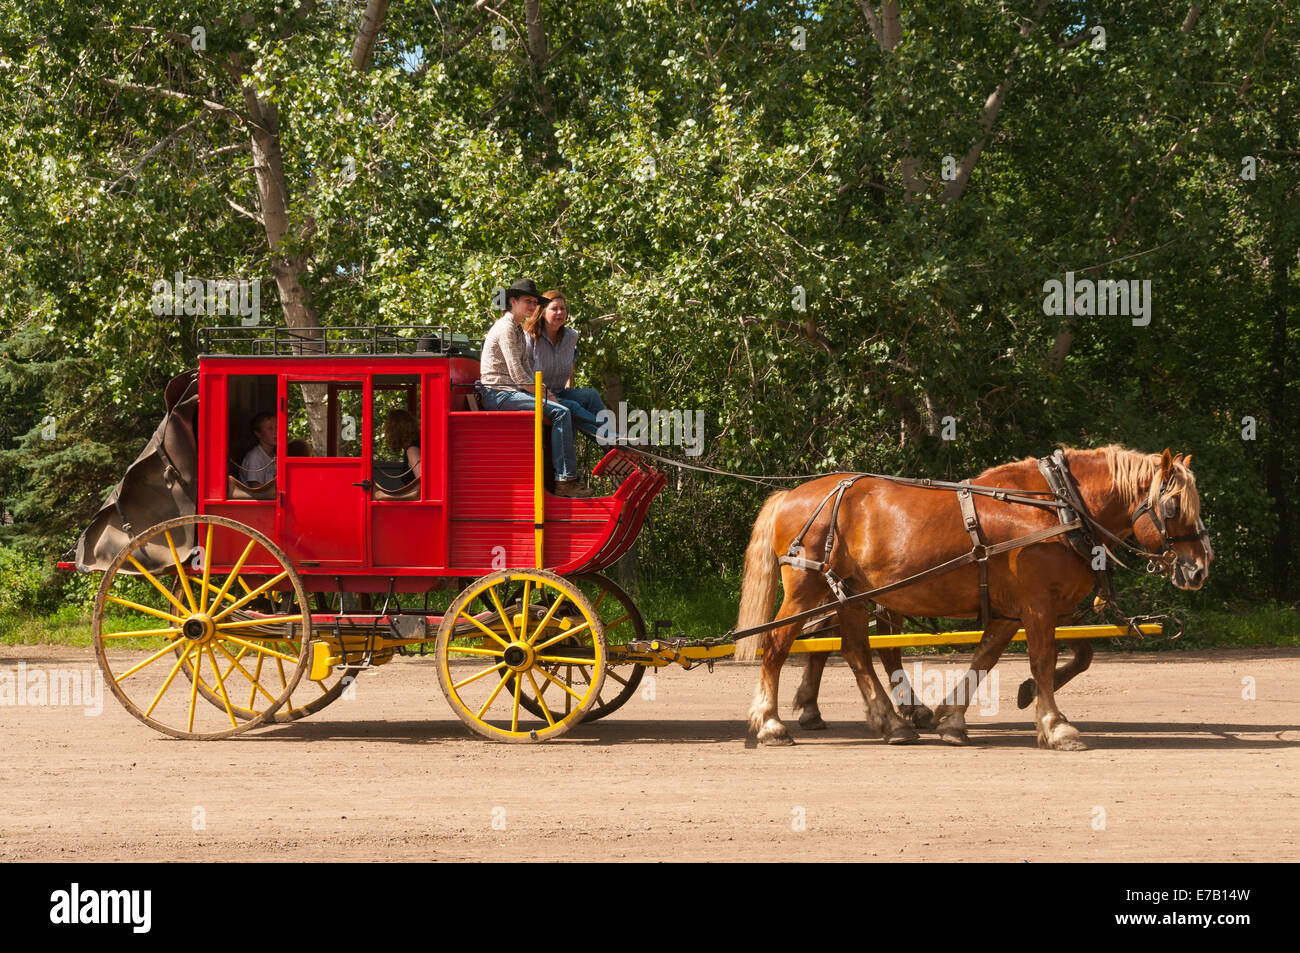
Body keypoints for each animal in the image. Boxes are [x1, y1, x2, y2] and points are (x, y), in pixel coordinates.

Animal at [738, 447, 1211, 748]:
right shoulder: (1038, 605)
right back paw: (771, 723)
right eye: (1173, 507)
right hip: (808, 589)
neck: (1058, 508)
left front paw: (952, 719)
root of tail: (792, 493)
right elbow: (1042, 659)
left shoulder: (1010, 611)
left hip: (850, 593)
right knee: (777, 644)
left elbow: (985, 659)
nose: (1199, 569)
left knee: (856, 651)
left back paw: (891, 722)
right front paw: (1055, 725)